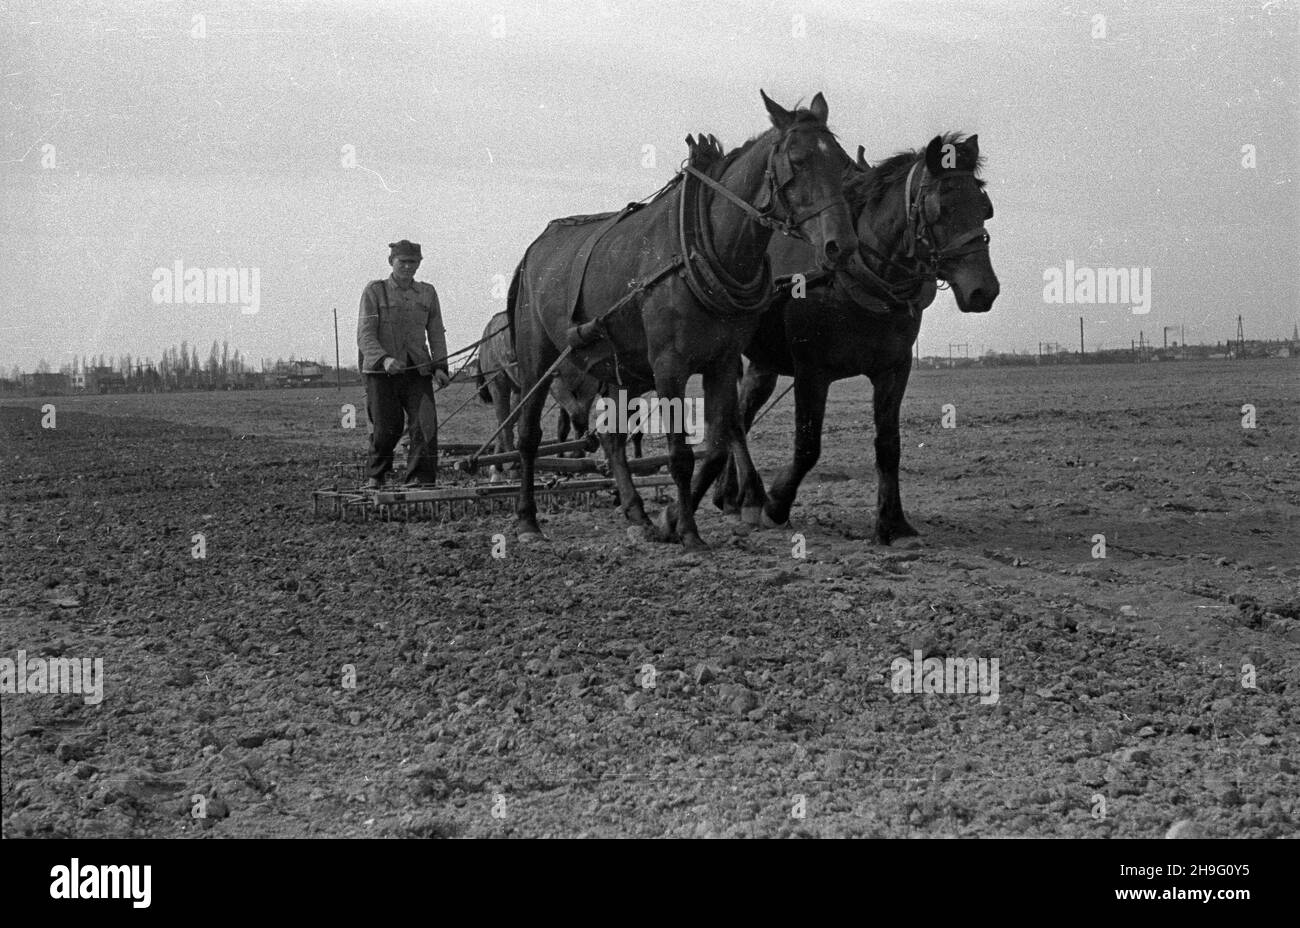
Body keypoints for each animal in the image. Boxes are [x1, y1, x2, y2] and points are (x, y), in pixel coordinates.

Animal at [509, 90, 863, 545]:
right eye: (798, 160)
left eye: (840, 162)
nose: (842, 246)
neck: (702, 247)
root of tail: (535, 247)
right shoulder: (669, 365)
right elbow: (679, 454)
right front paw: (690, 532)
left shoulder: (722, 362)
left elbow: (714, 446)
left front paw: (674, 519)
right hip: (536, 358)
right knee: (527, 436)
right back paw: (527, 519)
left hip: (618, 368)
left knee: (611, 436)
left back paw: (636, 511)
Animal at [717, 129, 998, 543]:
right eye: (940, 207)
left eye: (983, 205)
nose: (984, 290)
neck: (855, 275)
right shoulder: (811, 371)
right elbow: (807, 446)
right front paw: (776, 504)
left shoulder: (893, 369)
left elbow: (889, 444)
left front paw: (892, 522)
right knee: (734, 419)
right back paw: (750, 496)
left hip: (763, 364)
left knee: (740, 413)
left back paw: (728, 493)